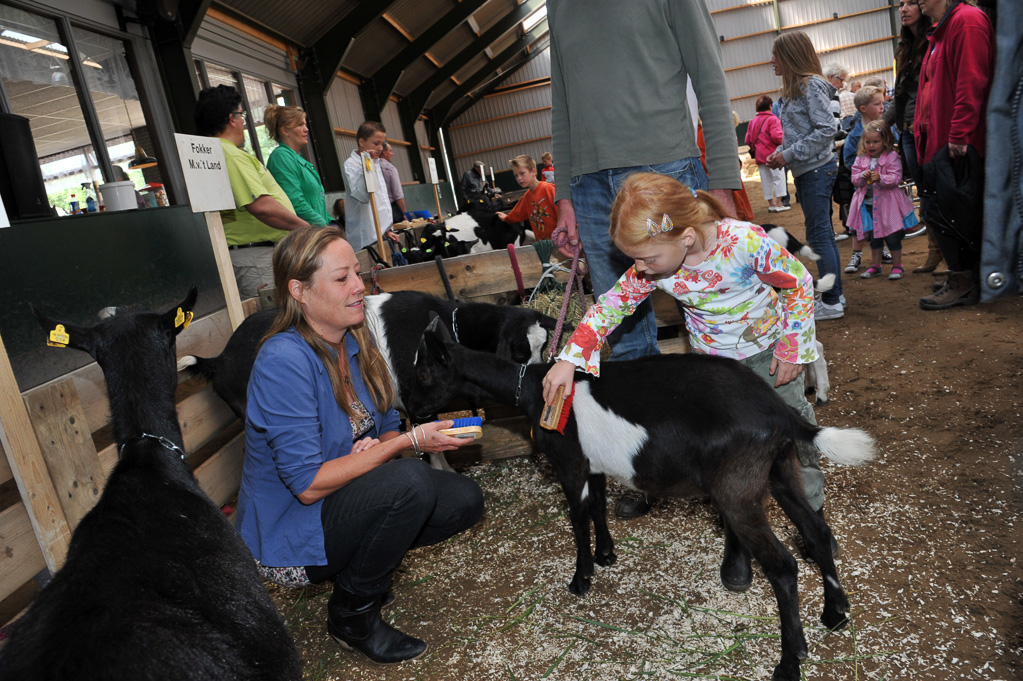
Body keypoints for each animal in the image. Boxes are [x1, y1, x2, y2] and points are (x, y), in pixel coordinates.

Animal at [179, 288, 556, 470]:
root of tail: (221, 359)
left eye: (545, 347)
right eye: (519, 353)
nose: (541, 385)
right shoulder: (417, 399)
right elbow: (427, 441)